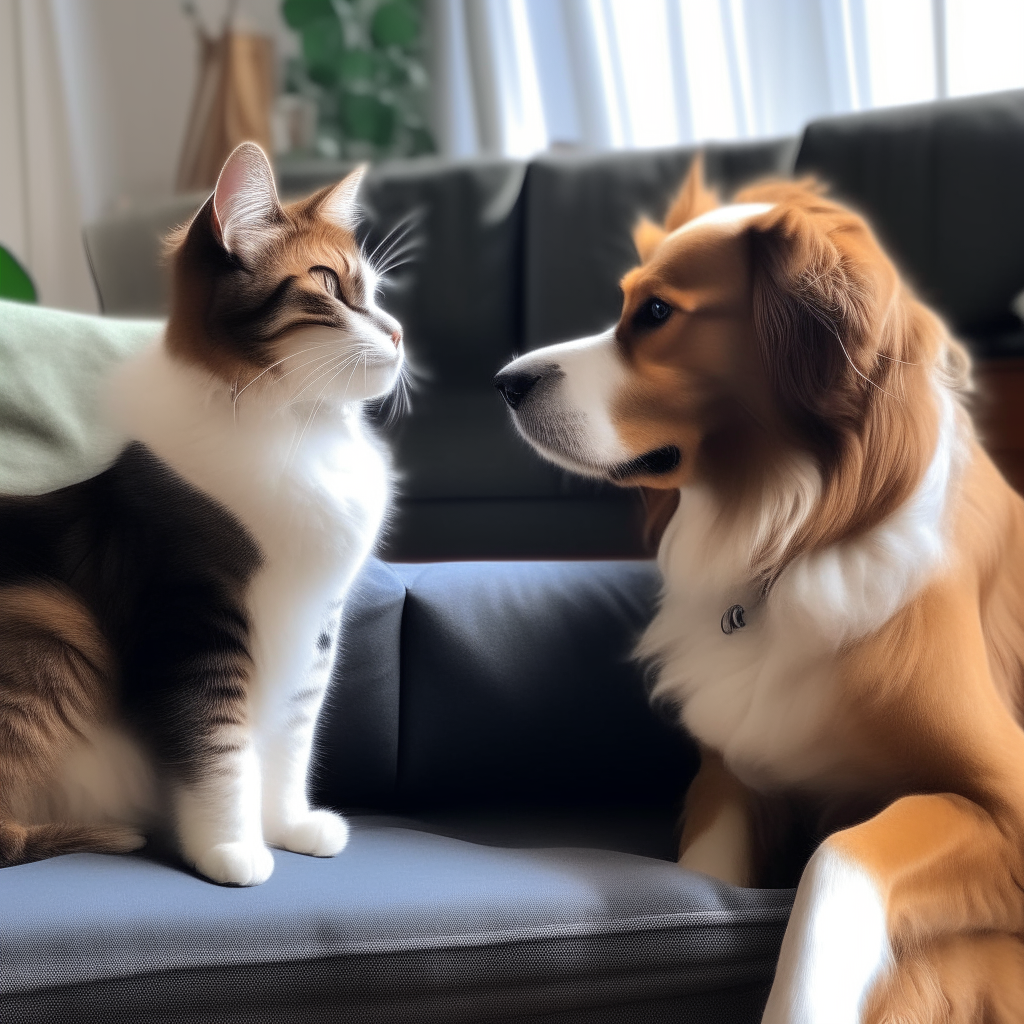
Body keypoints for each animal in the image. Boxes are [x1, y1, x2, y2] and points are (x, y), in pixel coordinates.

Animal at [0, 140, 405, 884]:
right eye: (331, 286)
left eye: (377, 293)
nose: (396, 333)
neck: (300, 426)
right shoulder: (197, 614)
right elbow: (217, 745)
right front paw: (230, 850)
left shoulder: (317, 624)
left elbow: (291, 739)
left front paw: (288, 825)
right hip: (50, 615)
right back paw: (110, 834)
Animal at [489, 155, 1024, 1019]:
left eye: (657, 313)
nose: (505, 380)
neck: (788, 538)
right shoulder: (733, 774)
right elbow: (699, 880)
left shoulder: (1003, 795)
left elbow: (838, 859)